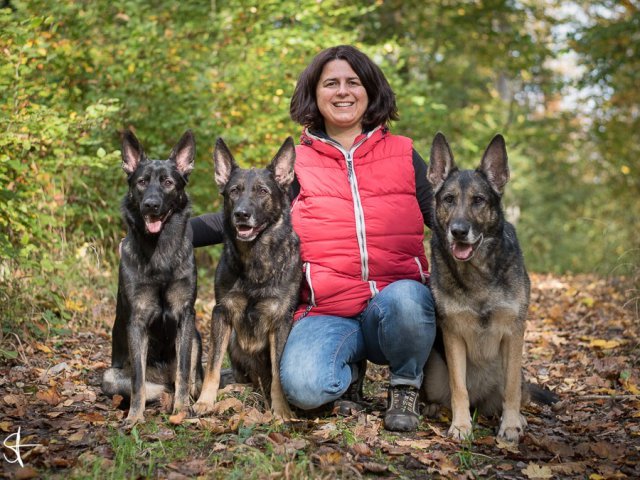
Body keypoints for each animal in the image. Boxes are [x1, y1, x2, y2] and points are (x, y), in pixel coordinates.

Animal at [102, 129, 202, 426]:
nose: (151, 205)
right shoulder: (137, 320)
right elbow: (138, 380)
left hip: (197, 338)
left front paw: (182, 410)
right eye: (142, 182)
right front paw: (135, 417)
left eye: (168, 183)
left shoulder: (185, 317)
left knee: (186, 381)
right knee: (152, 388)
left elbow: (183, 372)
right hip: (109, 376)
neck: (161, 253)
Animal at [191, 136, 302, 420]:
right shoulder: (222, 313)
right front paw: (205, 401)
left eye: (262, 191)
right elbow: (213, 365)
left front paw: (282, 411)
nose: (241, 214)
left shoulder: (280, 321)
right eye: (234, 191)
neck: (255, 261)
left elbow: (278, 373)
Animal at [420, 131, 556, 442]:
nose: (458, 231)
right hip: (432, 370)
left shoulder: (514, 332)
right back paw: (434, 409)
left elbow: (511, 388)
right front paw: (460, 426)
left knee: (514, 391)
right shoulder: (453, 334)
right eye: (449, 199)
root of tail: (480, 403)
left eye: (479, 200)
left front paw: (511, 425)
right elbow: (459, 388)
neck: (478, 273)